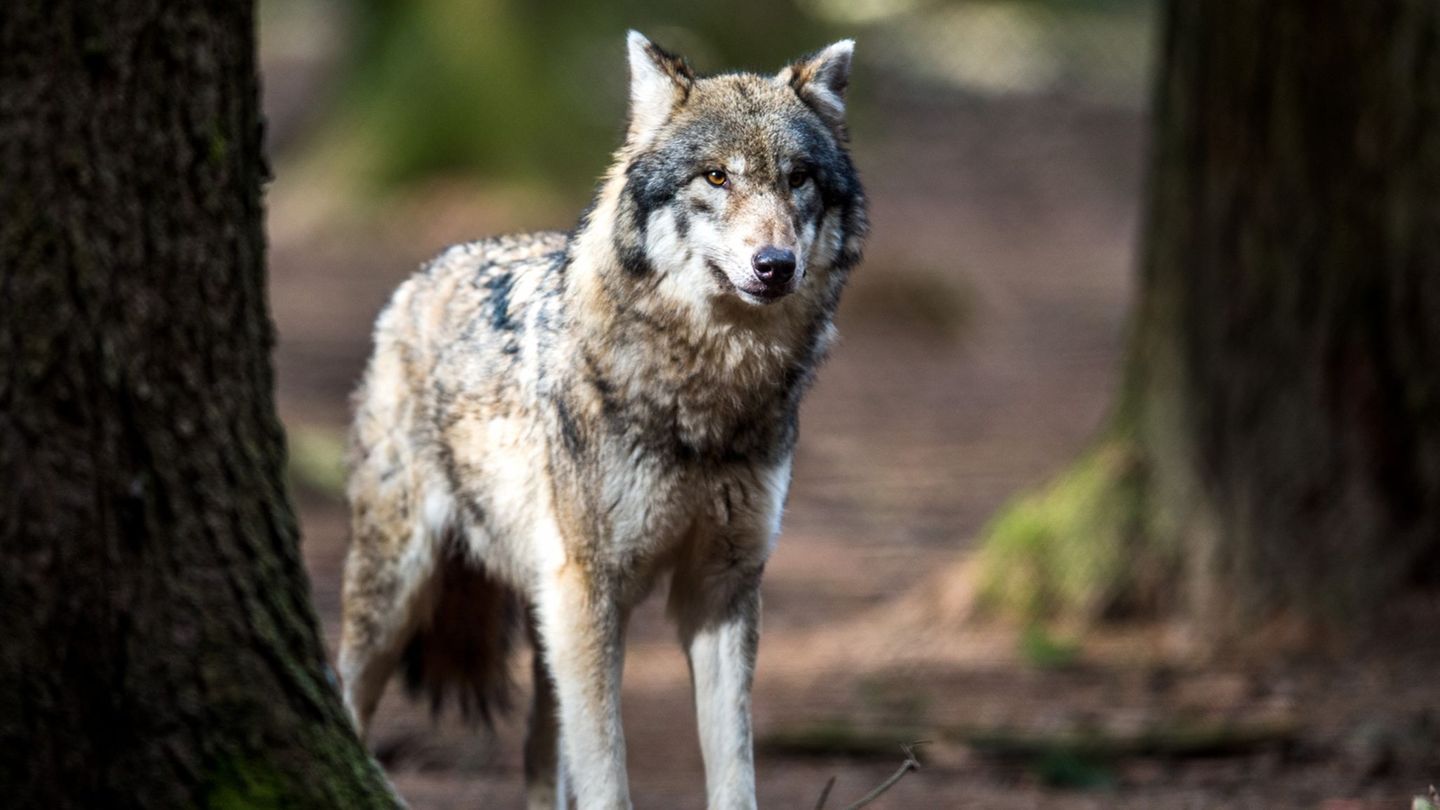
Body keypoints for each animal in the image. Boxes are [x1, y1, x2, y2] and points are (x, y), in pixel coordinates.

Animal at [337, 31, 867, 810]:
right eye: (716, 177)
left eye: (798, 179)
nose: (775, 264)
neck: (705, 397)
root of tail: (422, 274)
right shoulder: (593, 590)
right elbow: (607, 774)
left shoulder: (722, 587)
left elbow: (734, 770)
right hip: (403, 588)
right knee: (344, 691)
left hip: (543, 614)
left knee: (536, 754)